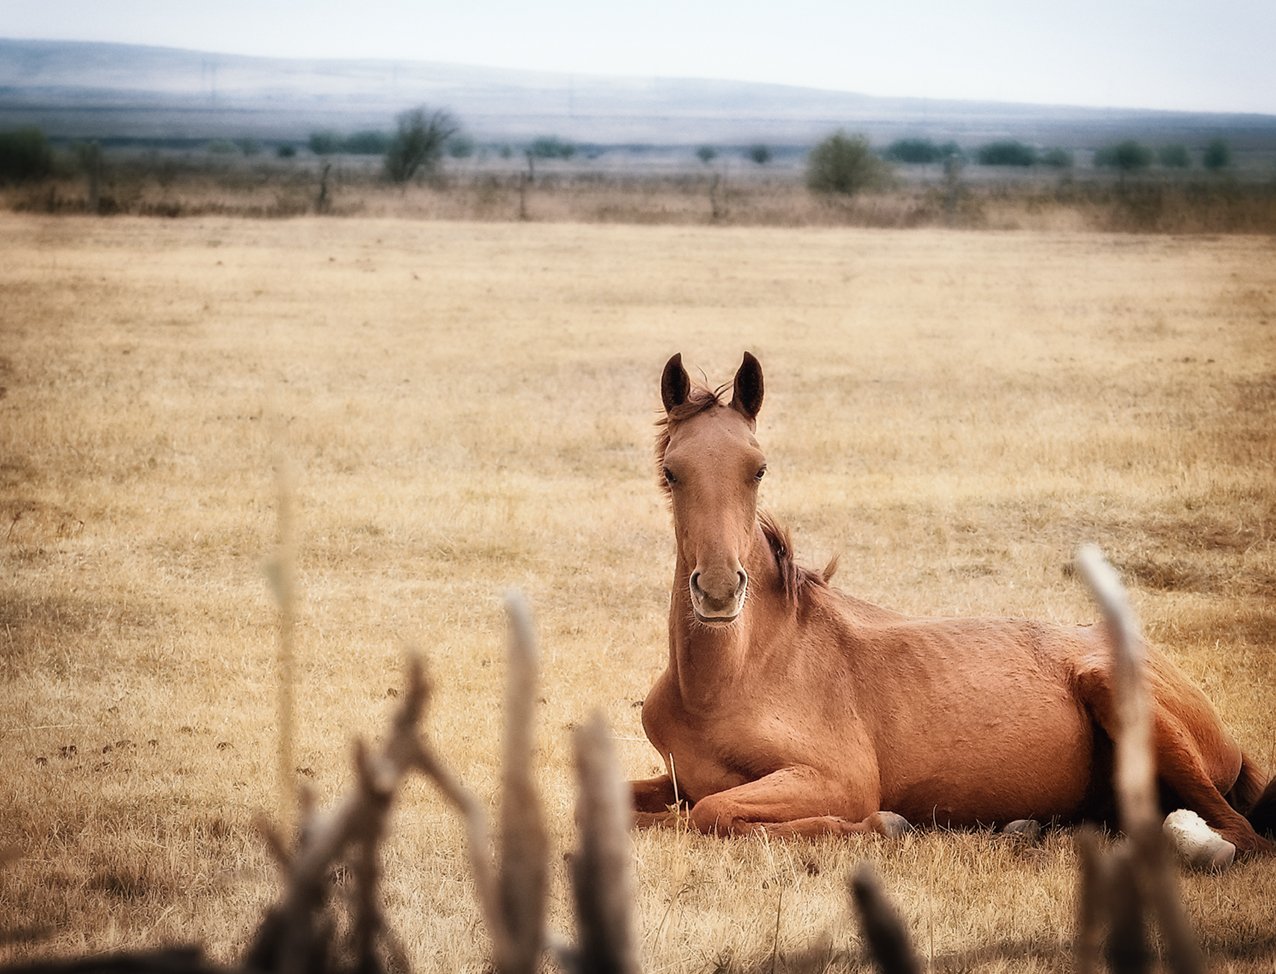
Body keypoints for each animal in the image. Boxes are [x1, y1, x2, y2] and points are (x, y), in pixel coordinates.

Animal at [627, 349, 1276, 862]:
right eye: (672, 472)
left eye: (757, 469)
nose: (717, 591)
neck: (726, 682)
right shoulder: (676, 779)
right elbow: (644, 808)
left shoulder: (835, 780)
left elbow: (711, 813)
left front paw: (884, 825)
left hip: (1117, 690)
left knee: (1240, 835)